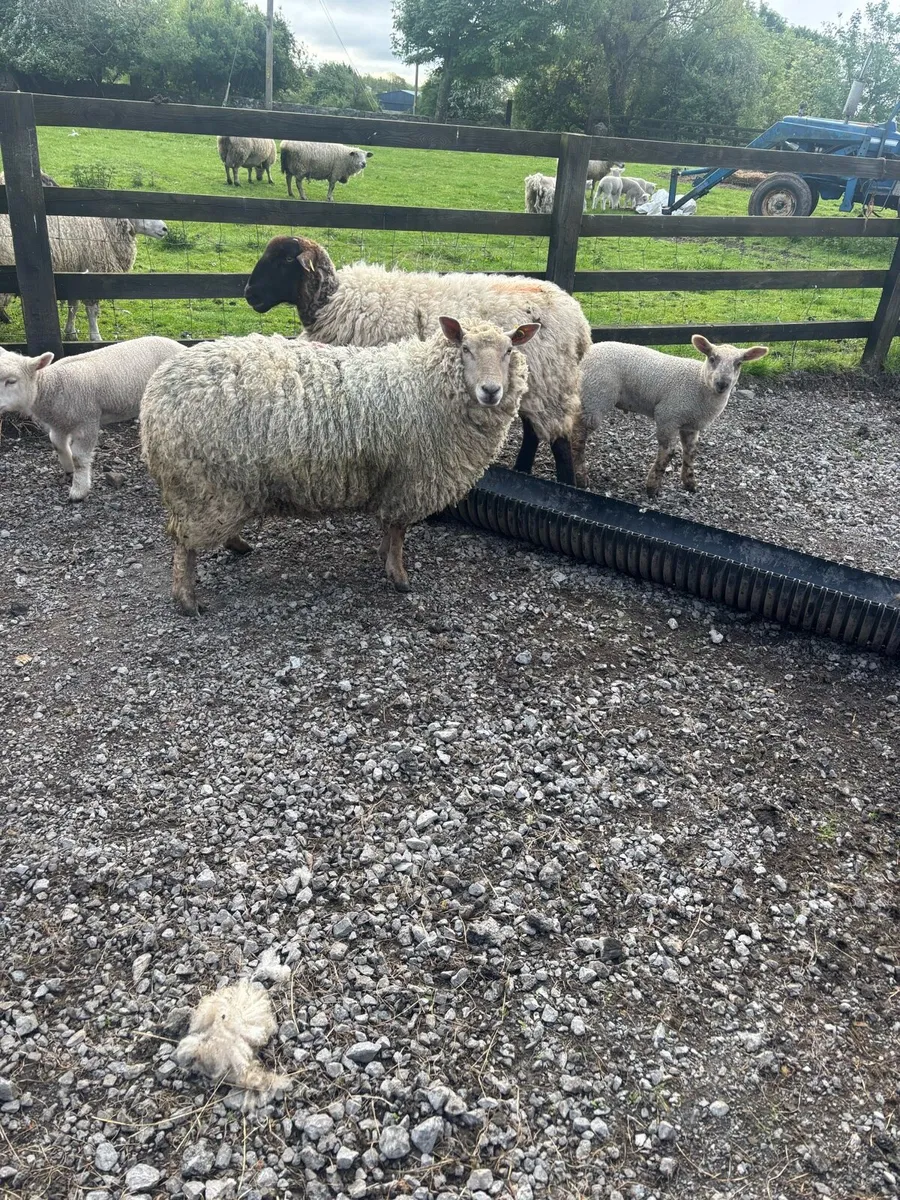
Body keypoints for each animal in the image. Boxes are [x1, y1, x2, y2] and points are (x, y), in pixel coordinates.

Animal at [0, 215, 169, 341]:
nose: (165, 229)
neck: (105, 227)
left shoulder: (76, 273)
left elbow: (73, 306)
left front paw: (70, 331)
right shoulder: (92, 274)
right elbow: (91, 311)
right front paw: (95, 337)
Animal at [0, 336, 183, 500]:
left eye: (12, 381)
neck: (53, 386)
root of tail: (181, 346)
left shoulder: (87, 422)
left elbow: (80, 458)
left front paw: (78, 491)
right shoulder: (59, 424)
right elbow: (58, 445)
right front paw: (69, 469)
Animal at [141, 316, 538, 615]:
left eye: (509, 351)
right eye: (466, 349)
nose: (491, 391)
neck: (427, 382)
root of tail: (157, 387)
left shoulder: (393, 480)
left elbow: (390, 529)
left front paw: (383, 556)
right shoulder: (409, 480)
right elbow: (398, 531)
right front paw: (398, 576)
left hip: (225, 485)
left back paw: (237, 545)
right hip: (200, 484)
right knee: (184, 546)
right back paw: (186, 599)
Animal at [243, 235, 592, 485]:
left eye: (286, 259)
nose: (249, 294)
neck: (331, 300)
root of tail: (579, 320)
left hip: (551, 381)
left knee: (559, 440)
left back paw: (566, 487)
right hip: (532, 384)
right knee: (534, 431)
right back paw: (522, 471)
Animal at [573, 335, 769, 495]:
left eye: (739, 363)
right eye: (712, 358)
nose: (722, 384)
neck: (699, 384)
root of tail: (584, 354)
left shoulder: (691, 425)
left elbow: (690, 453)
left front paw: (690, 484)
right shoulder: (668, 415)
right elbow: (667, 453)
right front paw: (652, 487)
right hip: (596, 395)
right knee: (578, 437)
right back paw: (581, 478)